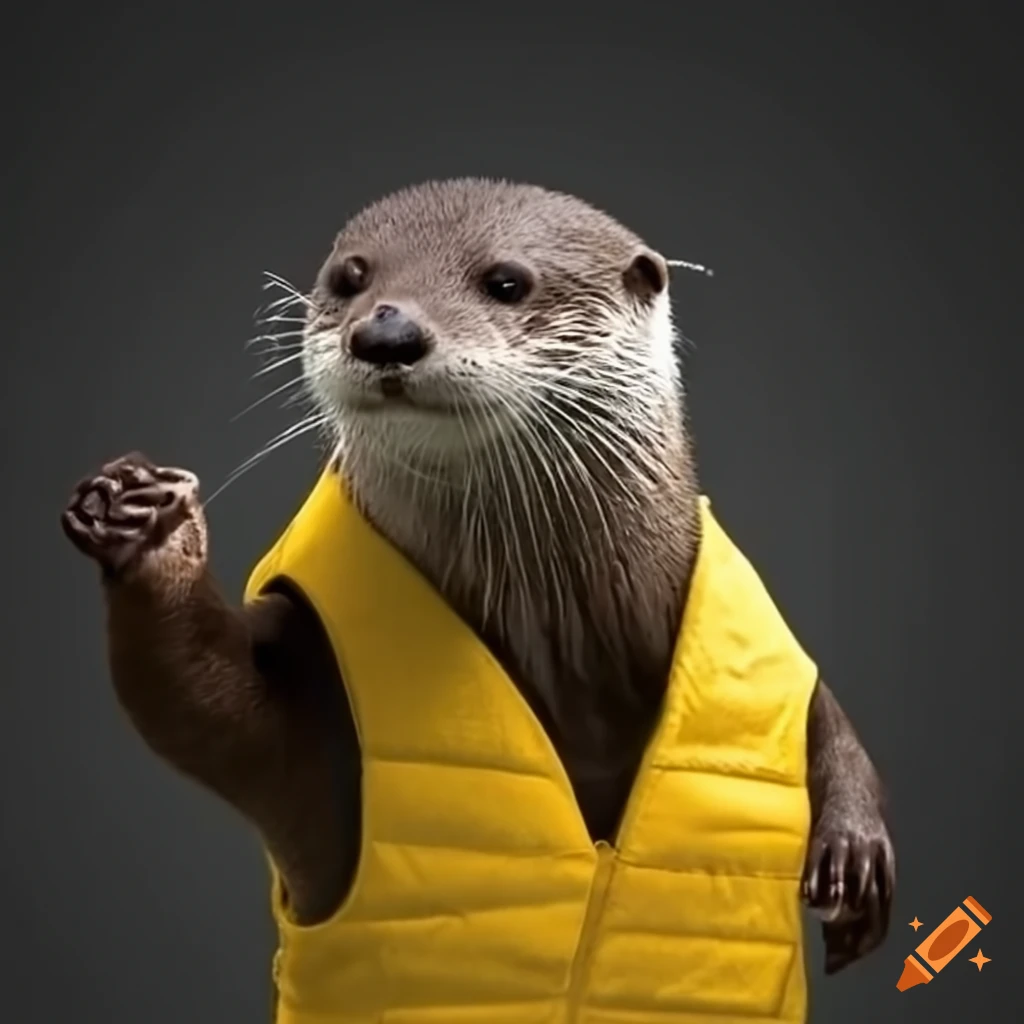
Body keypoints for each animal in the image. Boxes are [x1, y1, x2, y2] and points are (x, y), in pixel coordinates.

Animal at [61, 178, 894, 995]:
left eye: (505, 281)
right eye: (351, 278)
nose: (386, 332)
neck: (574, 669)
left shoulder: (762, 660)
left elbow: (817, 704)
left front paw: (855, 852)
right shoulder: (303, 704)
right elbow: (199, 704)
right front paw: (143, 519)